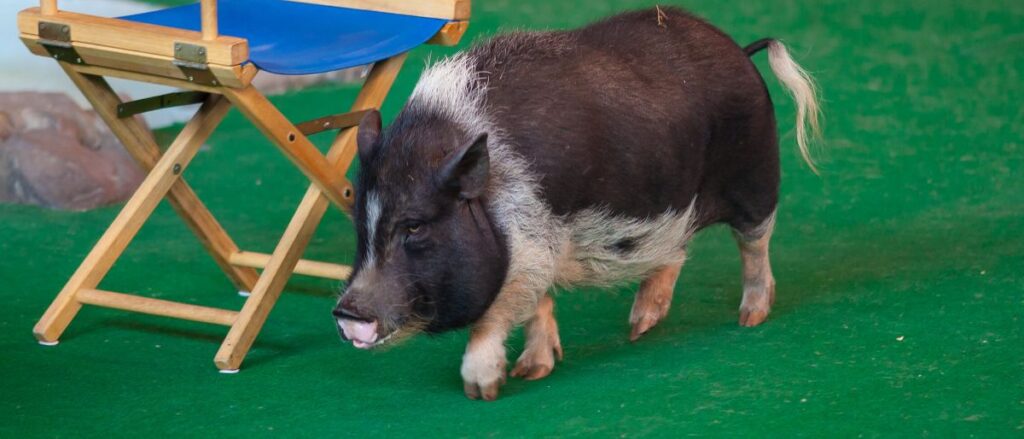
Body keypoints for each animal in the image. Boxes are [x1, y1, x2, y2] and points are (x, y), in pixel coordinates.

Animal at [334, 6, 820, 400]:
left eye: (414, 226)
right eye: (359, 224)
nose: (345, 311)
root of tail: (741, 50)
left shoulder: (530, 243)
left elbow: (498, 312)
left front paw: (483, 391)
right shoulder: (535, 251)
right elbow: (535, 303)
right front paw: (533, 372)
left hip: (756, 174)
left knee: (755, 243)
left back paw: (750, 318)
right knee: (674, 251)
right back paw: (638, 329)